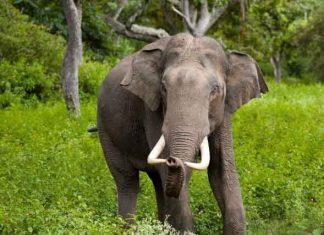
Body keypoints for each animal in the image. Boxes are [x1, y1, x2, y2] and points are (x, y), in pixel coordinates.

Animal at [97, 32, 268, 233]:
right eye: (164, 88)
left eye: (215, 90)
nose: (173, 160)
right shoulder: (152, 109)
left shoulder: (225, 110)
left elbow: (221, 171)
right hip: (105, 129)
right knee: (127, 180)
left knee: (157, 182)